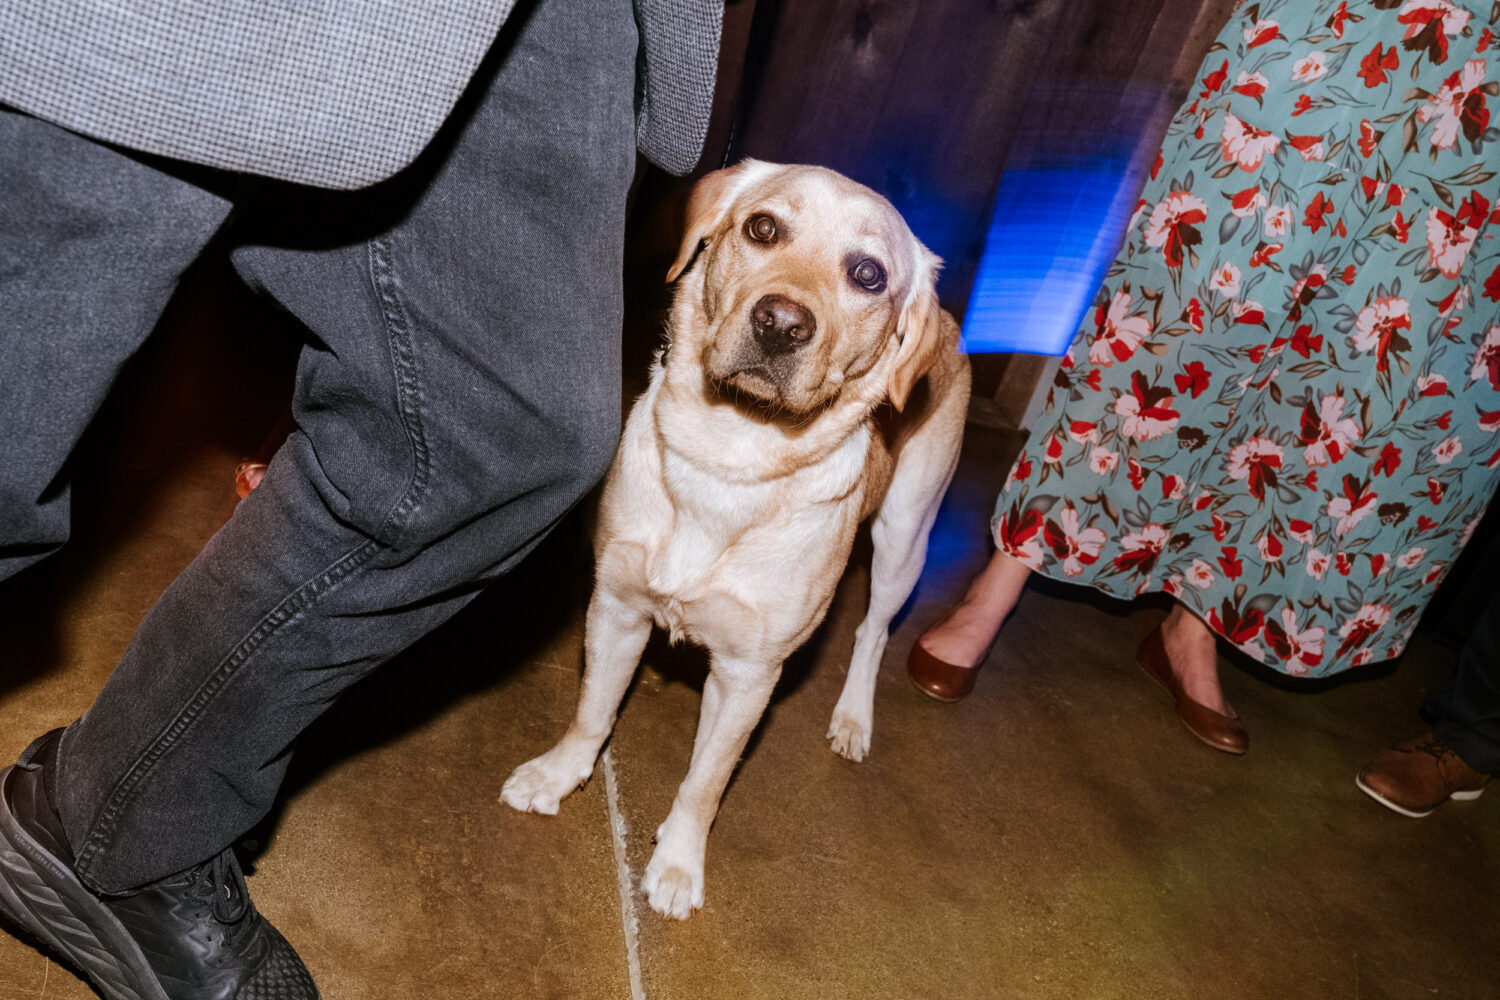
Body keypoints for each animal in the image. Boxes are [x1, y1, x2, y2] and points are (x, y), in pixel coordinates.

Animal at [504, 160, 972, 917]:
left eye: (869, 274)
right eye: (762, 227)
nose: (780, 323)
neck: (731, 457)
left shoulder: (749, 677)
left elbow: (706, 781)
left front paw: (677, 864)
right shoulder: (617, 610)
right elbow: (592, 712)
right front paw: (560, 774)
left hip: (905, 539)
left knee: (873, 631)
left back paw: (853, 717)